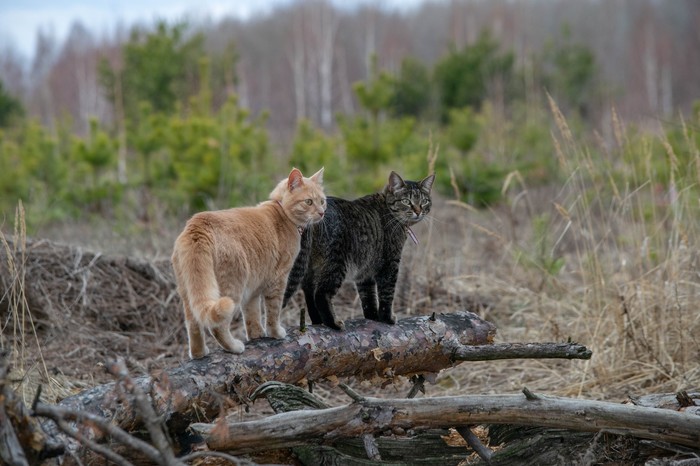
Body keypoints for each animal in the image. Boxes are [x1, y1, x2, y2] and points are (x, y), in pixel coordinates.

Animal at [175, 169, 328, 358]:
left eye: (322, 201)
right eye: (309, 202)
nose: (322, 213)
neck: (282, 213)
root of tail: (198, 224)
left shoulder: (253, 288)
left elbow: (252, 314)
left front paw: (257, 335)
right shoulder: (279, 280)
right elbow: (273, 311)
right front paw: (275, 333)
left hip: (189, 292)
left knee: (193, 324)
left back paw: (199, 353)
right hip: (232, 289)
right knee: (217, 326)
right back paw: (234, 347)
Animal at [284, 172, 432, 332]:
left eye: (424, 201)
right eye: (406, 201)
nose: (418, 211)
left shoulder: (365, 271)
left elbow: (368, 297)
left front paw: (373, 316)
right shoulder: (390, 264)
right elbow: (387, 294)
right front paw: (387, 319)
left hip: (312, 266)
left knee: (309, 293)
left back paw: (318, 322)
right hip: (335, 264)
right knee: (321, 294)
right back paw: (333, 323)